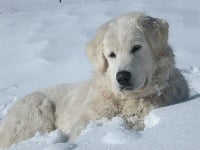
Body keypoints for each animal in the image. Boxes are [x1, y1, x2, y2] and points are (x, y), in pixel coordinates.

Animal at [0, 12, 189, 148]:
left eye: (136, 47)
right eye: (111, 55)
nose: (122, 76)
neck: (127, 102)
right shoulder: (86, 122)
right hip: (38, 109)